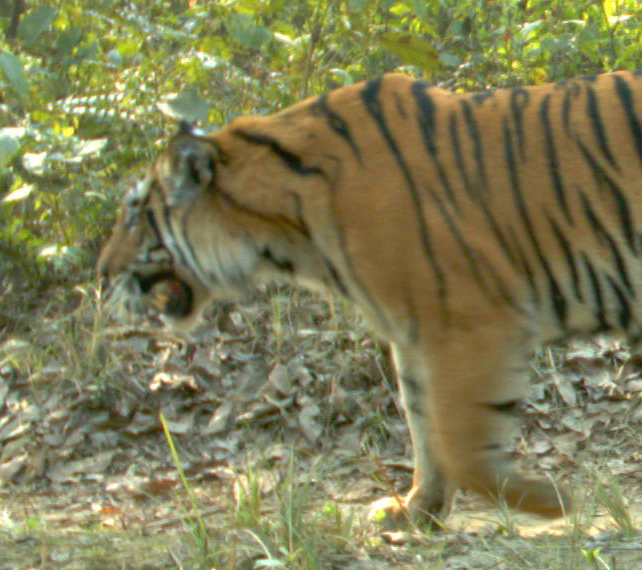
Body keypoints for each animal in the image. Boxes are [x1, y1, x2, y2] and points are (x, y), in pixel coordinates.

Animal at [97, 70, 642, 526]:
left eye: (132, 214)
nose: (102, 272)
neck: (284, 232)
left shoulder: (471, 323)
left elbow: (462, 446)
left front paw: (551, 502)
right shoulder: (416, 332)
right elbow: (423, 424)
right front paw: (416, 508)